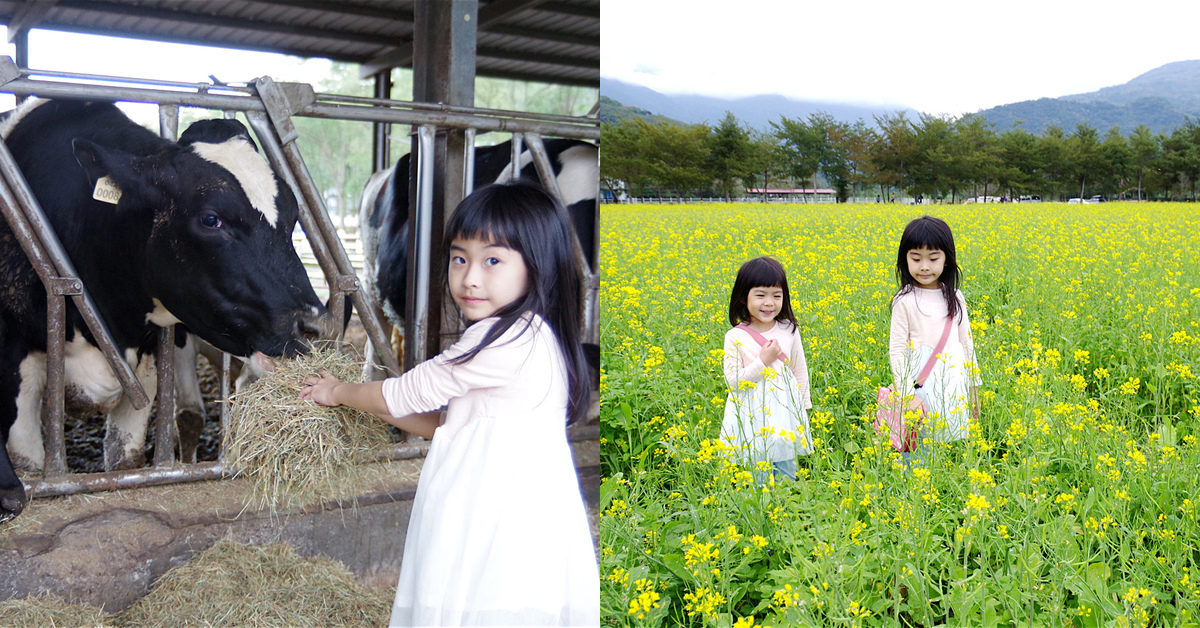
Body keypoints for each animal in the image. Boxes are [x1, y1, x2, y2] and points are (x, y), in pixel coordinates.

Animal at [0, 98, 331, 521]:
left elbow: (125, 461)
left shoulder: (147, 361)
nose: (315, 326)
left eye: (292, 218)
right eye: (211, 219)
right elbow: (28, 463)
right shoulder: (15, 364)